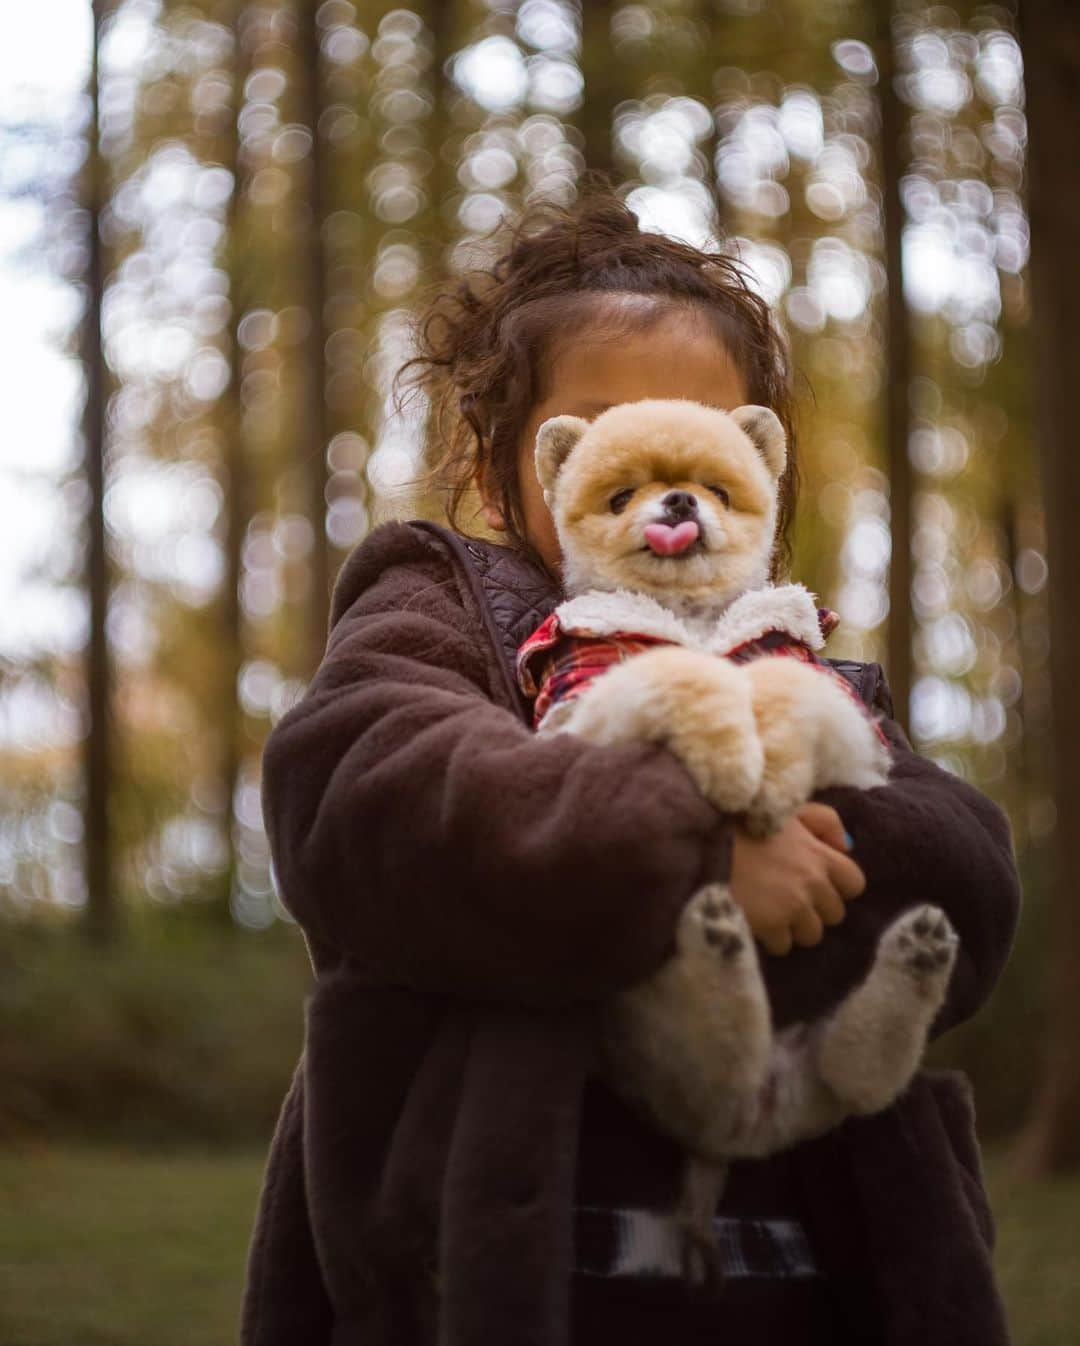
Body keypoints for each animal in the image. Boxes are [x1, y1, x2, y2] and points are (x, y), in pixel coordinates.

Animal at [517, 398, 953, 1281]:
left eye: (716, 489)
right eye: (620, 497)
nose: (679, 503)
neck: (694, 620)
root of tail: (740, 1127)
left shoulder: (845, 721)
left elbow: (776, 681)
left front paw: (771, 772)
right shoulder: (577, 708)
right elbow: (685, 674)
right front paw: (728, 762)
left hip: (822, 1072)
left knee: (862, 1070)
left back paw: (916, 953)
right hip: (652, 1027)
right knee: (719, 1041)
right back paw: (715, 938)